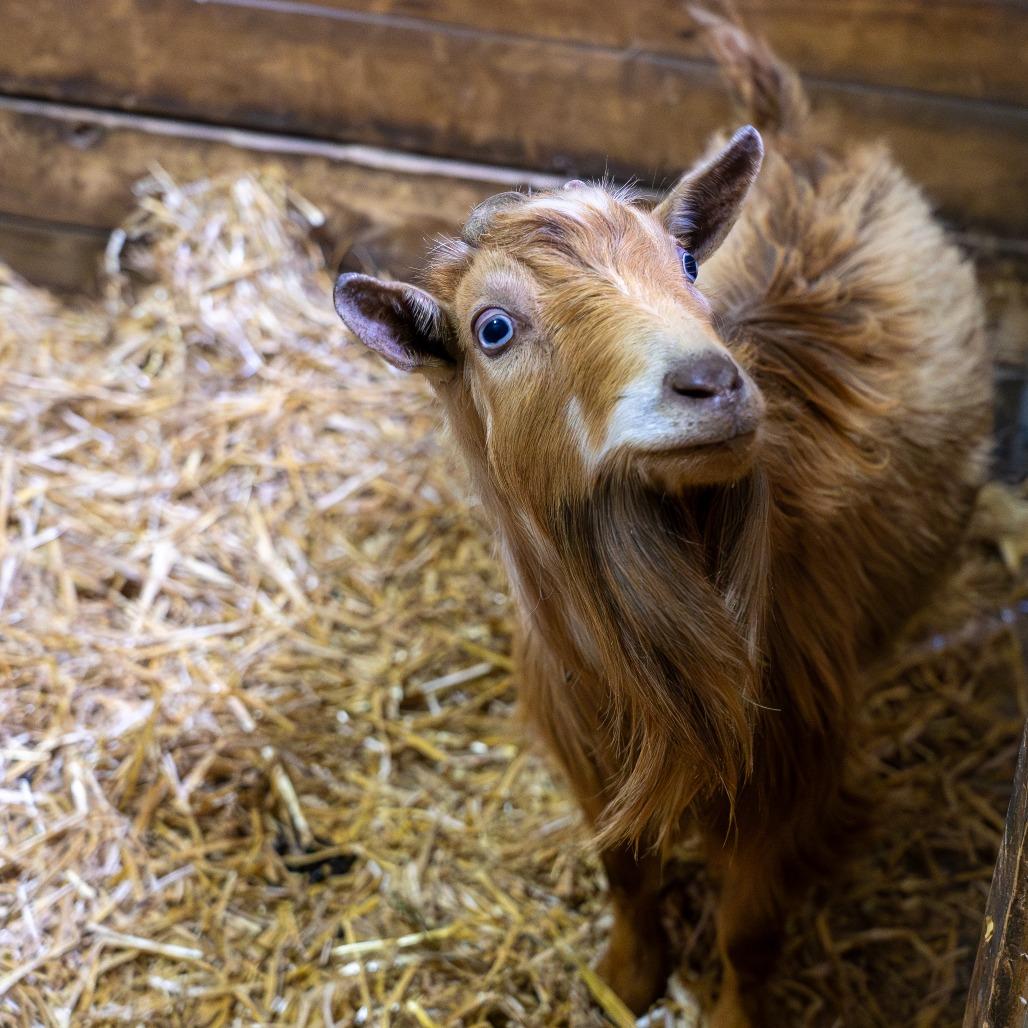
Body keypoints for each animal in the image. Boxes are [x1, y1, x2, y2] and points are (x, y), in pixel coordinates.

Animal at [332, 17, 992, 1025]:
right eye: (493, 328)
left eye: (685, 264)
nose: (711, 381)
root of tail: (793, 129)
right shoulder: (590, 753)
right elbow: (624, 872)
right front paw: (625, 977)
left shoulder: (783, 776)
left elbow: (748, 933)